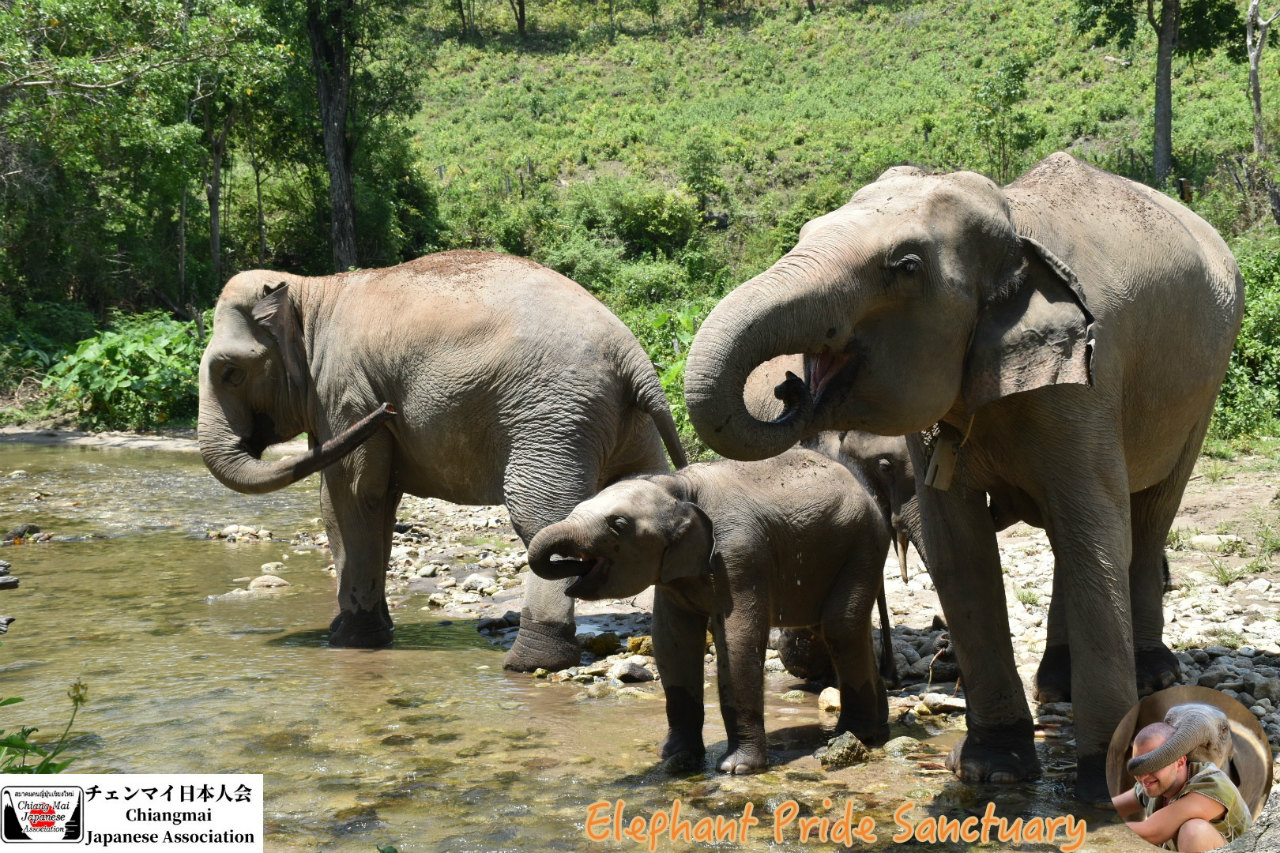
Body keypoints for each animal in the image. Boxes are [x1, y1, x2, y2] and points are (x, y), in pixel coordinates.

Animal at [198, 250, 686, 670]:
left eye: (230, 372)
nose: (389, 409)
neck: (310, 290)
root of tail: (633, 355)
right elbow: (377, 500)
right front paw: (360, 634)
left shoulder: (344, 393)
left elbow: (348, 496)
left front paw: (349, 640)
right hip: (621, 422)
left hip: (554, 415)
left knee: (540, 521)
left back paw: (531, 662)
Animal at [525, 447, 892, 774]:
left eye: (618, 524)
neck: (678, 486)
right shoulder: (674, 575)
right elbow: (672, 642)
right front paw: (674, 757)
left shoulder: (740, 555)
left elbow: (738, 639)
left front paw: (736, 768)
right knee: (838, 628)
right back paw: (879, 732)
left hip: (864, 546)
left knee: (840, 626)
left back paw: (848, 738)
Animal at [683, 153, 1244, 802]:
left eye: (905, 268)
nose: (788, 386)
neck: (1014, 231)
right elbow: (958, 549)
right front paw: (992, 770)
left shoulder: (1089, 378)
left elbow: (1096, 536)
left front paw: (1105, 787)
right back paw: (1057, 685)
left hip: (1206, 377)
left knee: (1150, 513)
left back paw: (1150, 675)